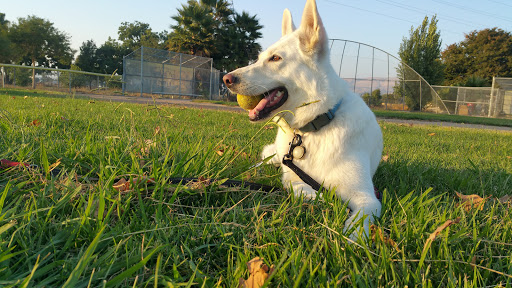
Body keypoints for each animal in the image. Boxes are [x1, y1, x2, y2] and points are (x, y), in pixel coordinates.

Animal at [222, 0, 382, 240]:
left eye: (275, 58)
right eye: (259, 58)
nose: (226, 79)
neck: (313, 128)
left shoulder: (367, 197)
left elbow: (359, 219)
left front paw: (352, 238)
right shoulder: (291, 177)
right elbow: (297, 186)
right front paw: (320, 197)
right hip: (273, 156)